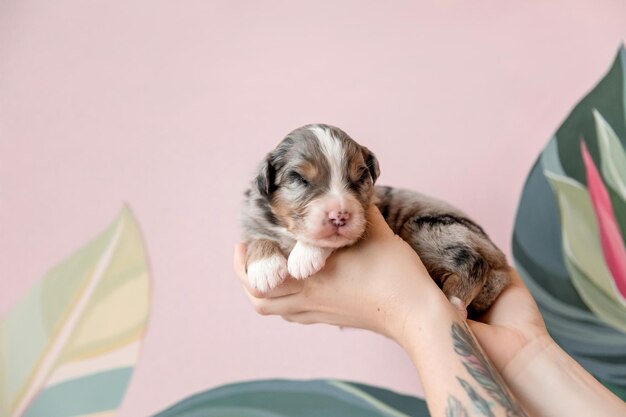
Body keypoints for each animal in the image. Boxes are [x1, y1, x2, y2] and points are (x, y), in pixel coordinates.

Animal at [239, 123, 508, 316]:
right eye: (298, 178)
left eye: (360, 178)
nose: (340, 215)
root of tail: (502, 263)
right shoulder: (252, 216)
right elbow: (256, 237)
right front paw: (264, 268)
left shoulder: (364, 222)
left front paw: (304, 256)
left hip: (426, 228)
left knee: (473, 262)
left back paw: (454, 303)